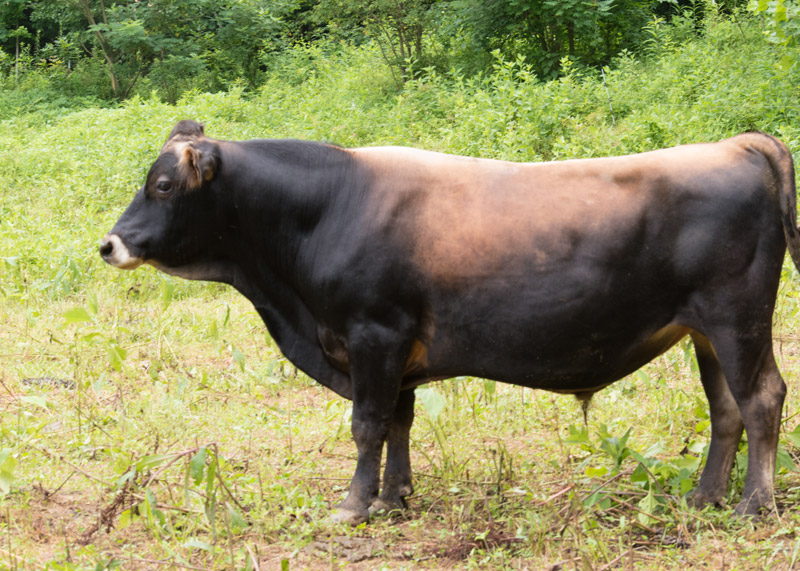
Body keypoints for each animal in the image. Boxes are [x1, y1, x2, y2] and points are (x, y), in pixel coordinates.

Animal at [100, 120, 800, 525]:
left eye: (163, 185)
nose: (109, 244)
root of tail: (736, 144)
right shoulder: (396, 352)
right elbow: (398, 424)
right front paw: (394, 498)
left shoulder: (374, 333)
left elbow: (366, 425)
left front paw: (353, 507)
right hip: (705, 333)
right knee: (726, 408)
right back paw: (705, 497)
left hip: (737, 320)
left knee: (762, 398)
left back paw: (753, 504)